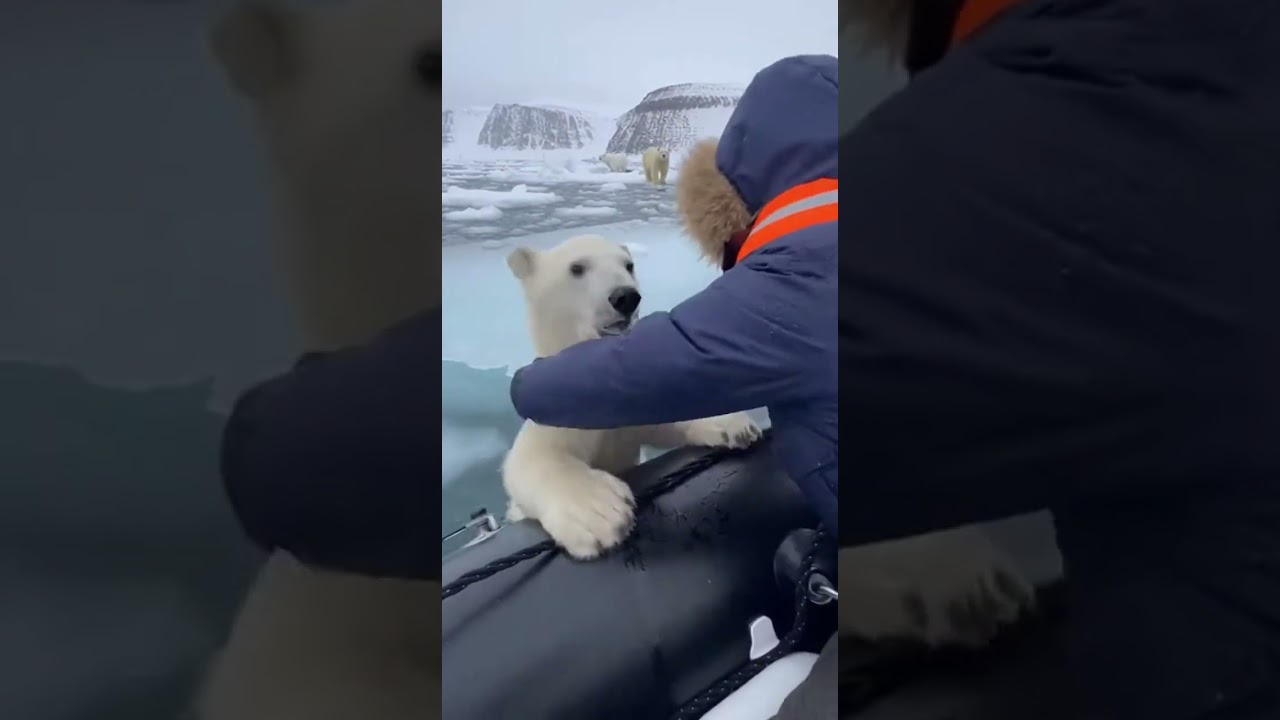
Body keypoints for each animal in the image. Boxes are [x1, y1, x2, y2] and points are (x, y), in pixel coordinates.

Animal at [503, 234, 762, 558]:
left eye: (628, 265)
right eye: (576, 268)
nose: (625, 297)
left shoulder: (625, 412)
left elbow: (660, 411)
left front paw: (734, 425)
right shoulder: (555, 408)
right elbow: (533, 457)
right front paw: (600, 512)